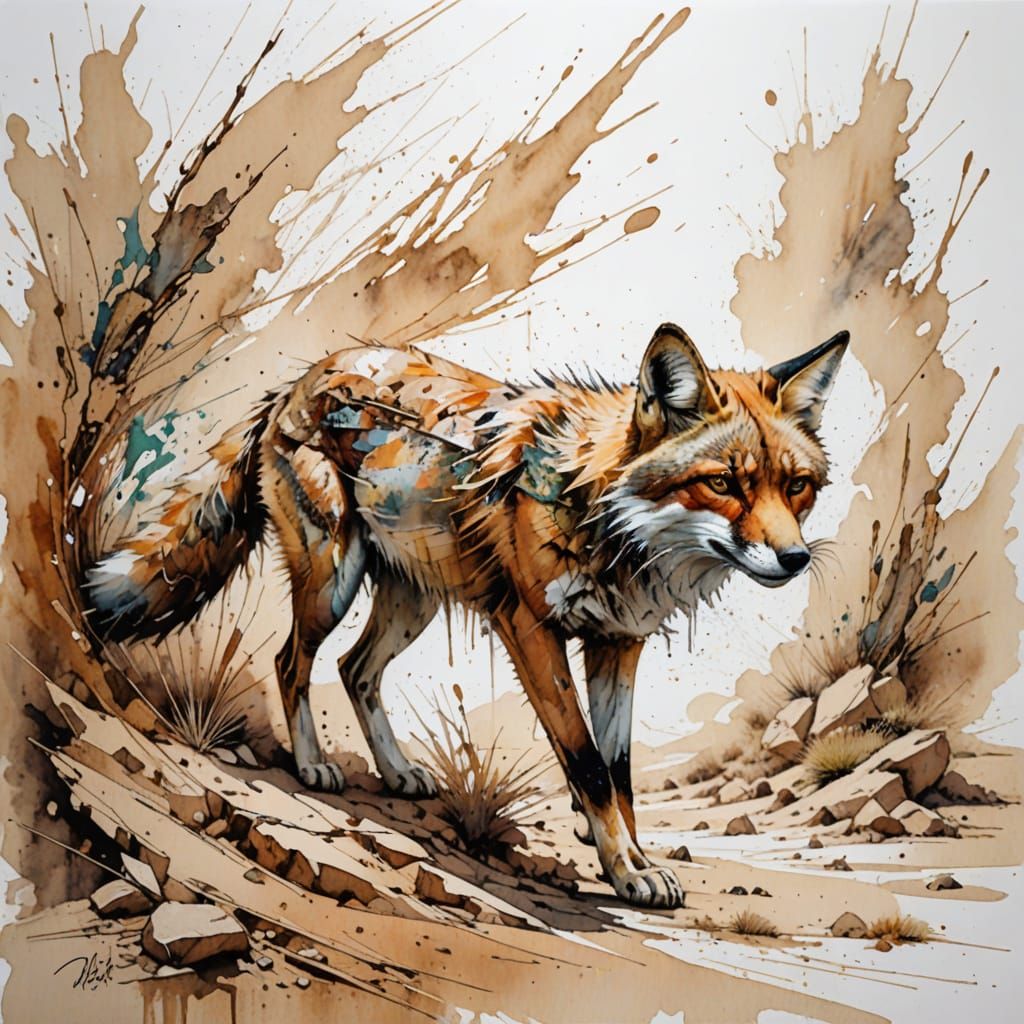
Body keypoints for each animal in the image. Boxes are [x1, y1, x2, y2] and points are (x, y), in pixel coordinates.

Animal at [80, 322, 848, 909]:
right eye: (723, 484)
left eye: (796, 487)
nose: (794, 559)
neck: (598, 511)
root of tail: (307, 376)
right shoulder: (531, 630)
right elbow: (588, 766)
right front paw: (625, 869)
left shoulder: (616, 645)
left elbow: (620, 773)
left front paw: (632, 859)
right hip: (333, 579)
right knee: (291, 661)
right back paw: (312, 764)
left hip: (411, 599)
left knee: (354, 669)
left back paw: (396, 772)